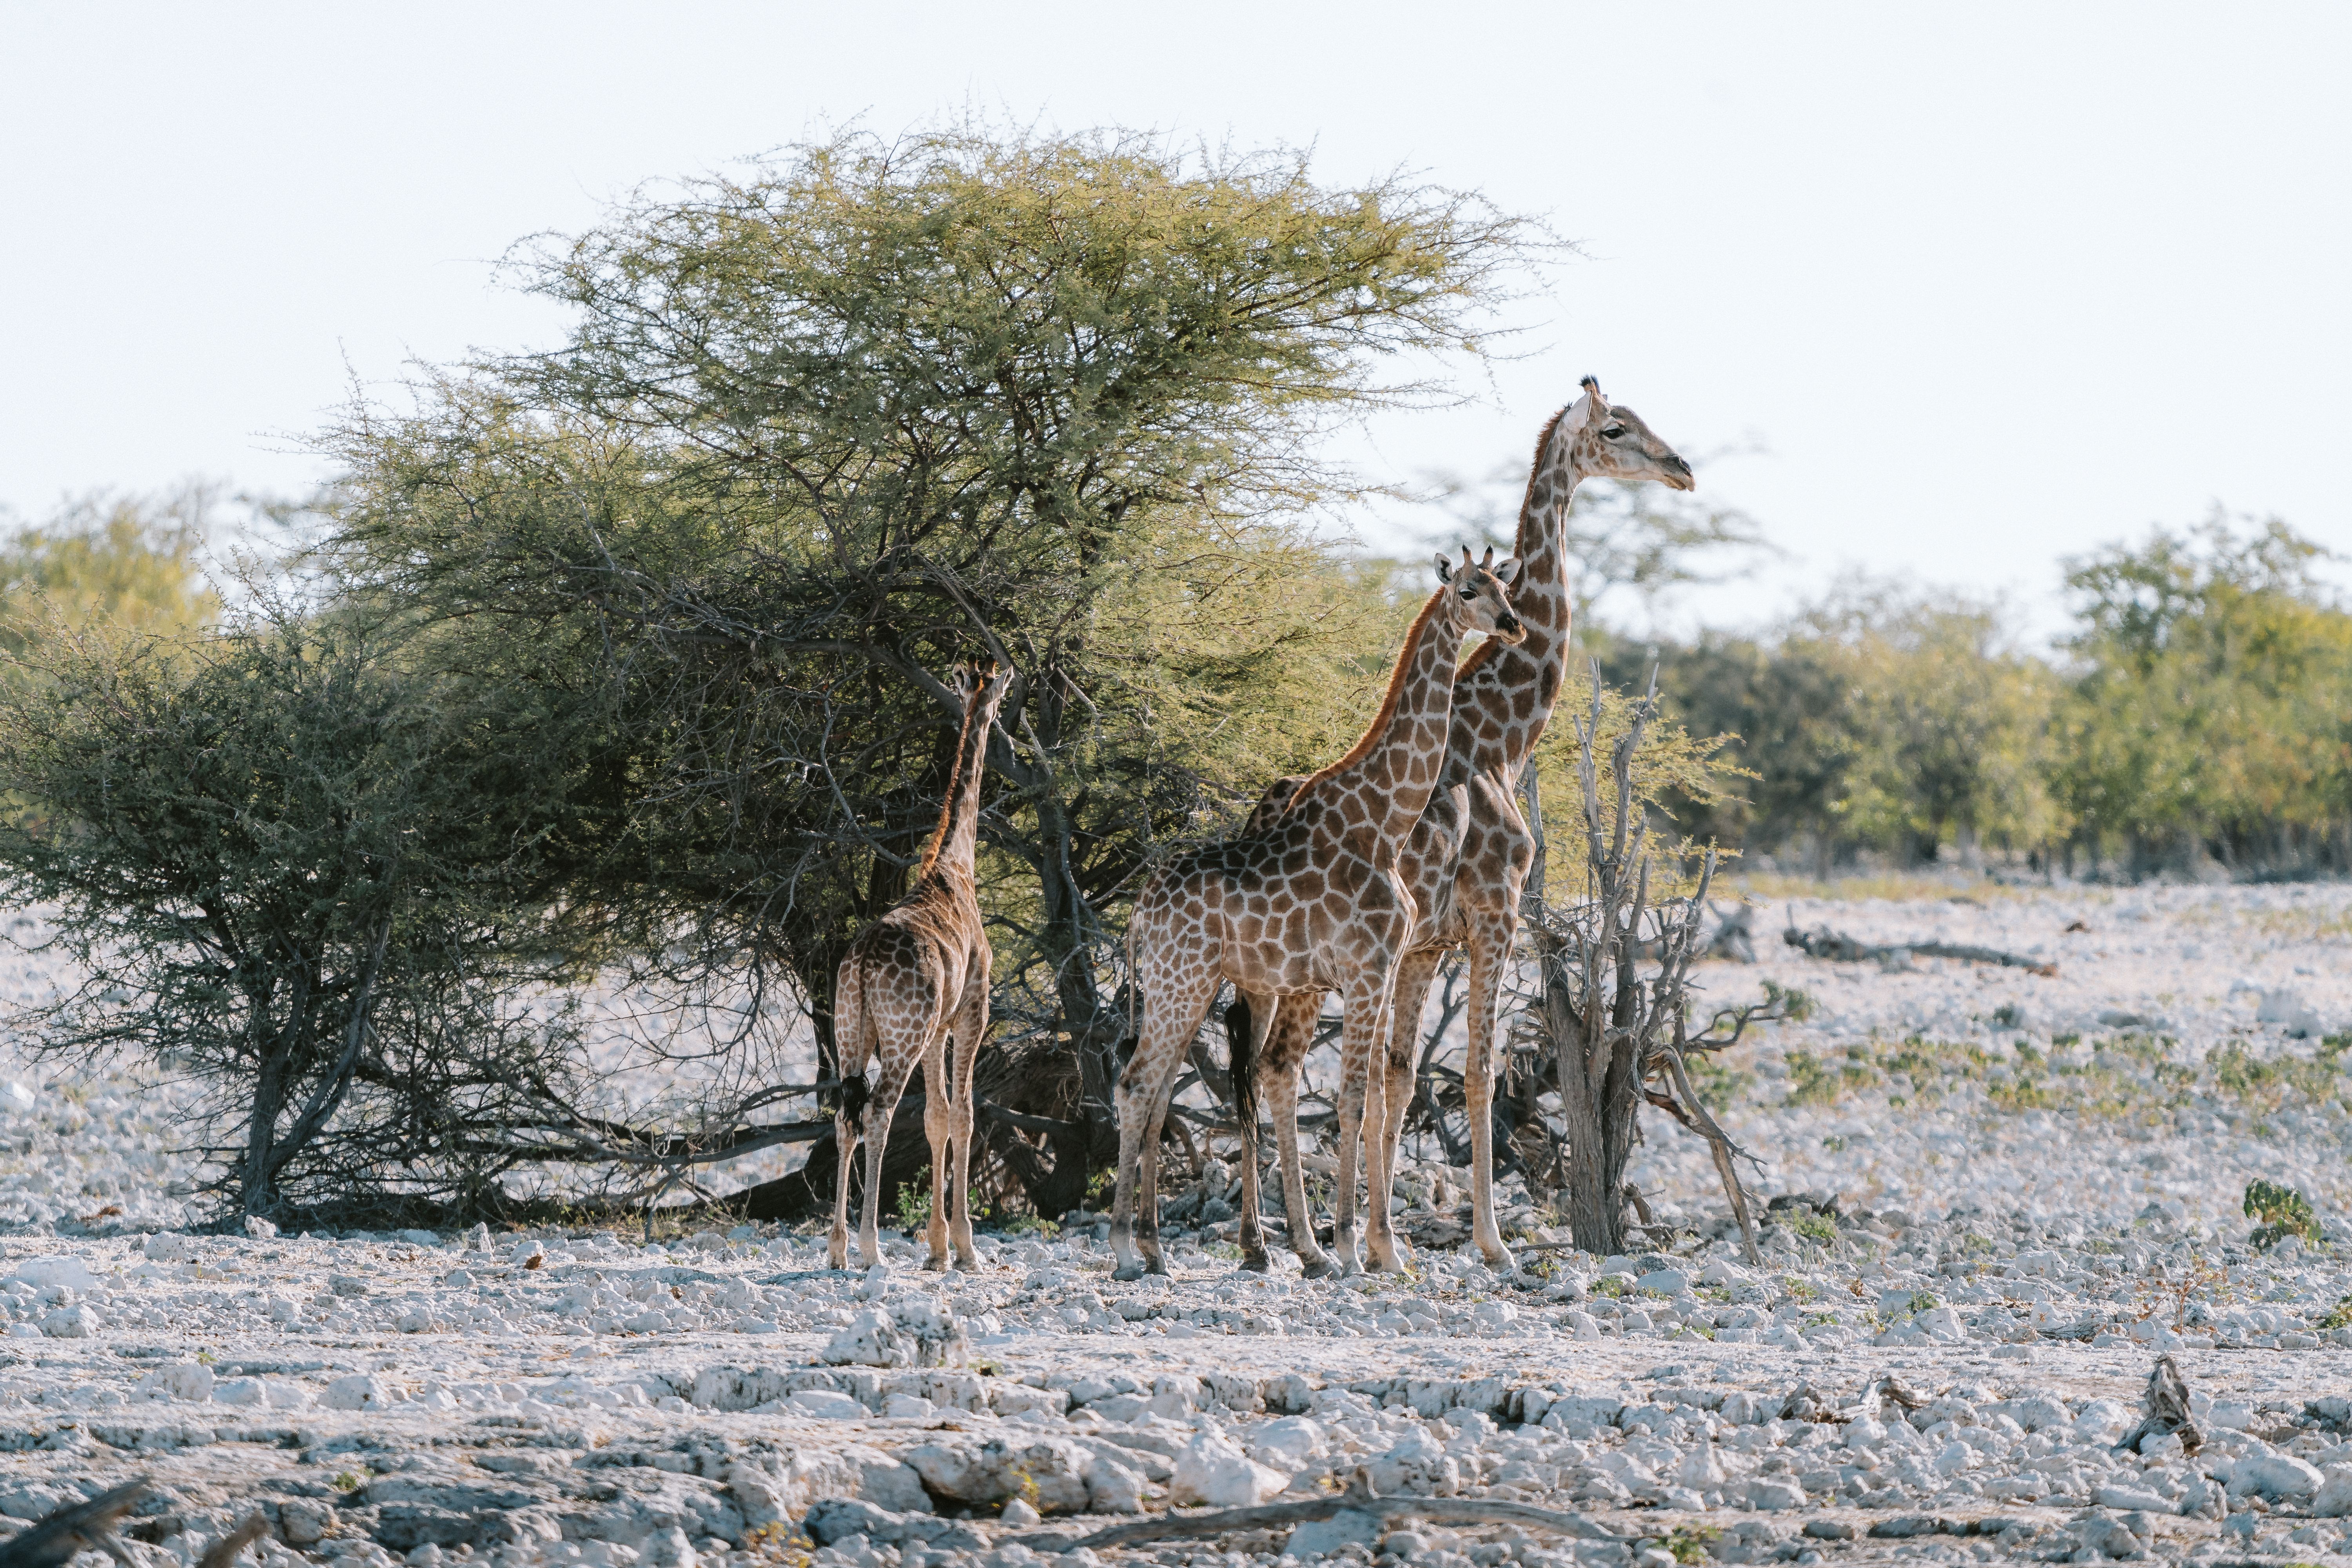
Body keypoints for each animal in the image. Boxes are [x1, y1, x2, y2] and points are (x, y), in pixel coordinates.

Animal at [829, 661, 1016, 1273]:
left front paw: (936, 1247)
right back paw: (871, 1249)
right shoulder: (972, 1011)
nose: (1003, 728)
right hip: (901, 1035)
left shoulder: (938, 1028)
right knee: (878, 1113)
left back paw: (838, 1247)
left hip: (851, 1028)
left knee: (843, 1116)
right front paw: (964, 1247)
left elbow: (936, 1117)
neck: (954, 866)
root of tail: (863, 962)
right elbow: (963, 1116)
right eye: (1000, 697)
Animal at [1111, 549, 1527, 1281]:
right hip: (1182, 985)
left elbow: (1373, 1091)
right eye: (1468, 591)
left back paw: (1157, 1249)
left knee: (1156, 1089)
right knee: (1137, 1086)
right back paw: (1126, 1251)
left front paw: (1356, 1247)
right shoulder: (1366, 970)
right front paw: (1356, 1249)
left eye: (1505, 588)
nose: (1511, 626)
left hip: (1184, 988)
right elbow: (1355, 1098)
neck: (1385, 820)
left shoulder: (1381, 967)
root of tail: (1139, 913)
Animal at [1246, 379, 1694, 1276]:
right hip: (1307, 970)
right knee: (1274, 1067)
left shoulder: (1426, 945)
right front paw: (1488, 1242)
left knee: (1267, 1067)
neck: (1500, 737)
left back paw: (1290, 1242)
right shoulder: (1494, 913)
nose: (1683, 468)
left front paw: (1383, 1239)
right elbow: (1478, 1073)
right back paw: (1294, 1242)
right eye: (1617, 428)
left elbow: (1398, 1076)